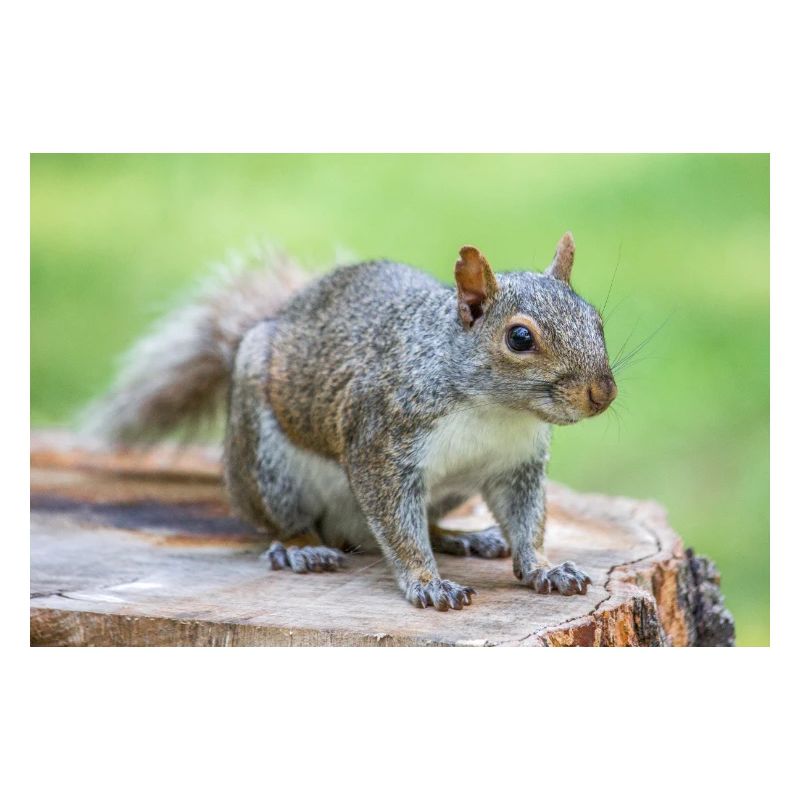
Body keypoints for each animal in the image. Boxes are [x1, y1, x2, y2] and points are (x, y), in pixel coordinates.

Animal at [90, 233, 617, 611]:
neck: (496, 411)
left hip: (450, 491)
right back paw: (302, 547)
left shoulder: (516, 465)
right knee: (284, 521)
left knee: (420, 522)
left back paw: (461, 537)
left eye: (596, 320)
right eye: (520, 338)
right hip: (267, 465)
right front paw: (427, 583)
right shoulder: (380, 443)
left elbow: (527, 521)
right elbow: (398, 528)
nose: (603, 394)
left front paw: (544, 568)